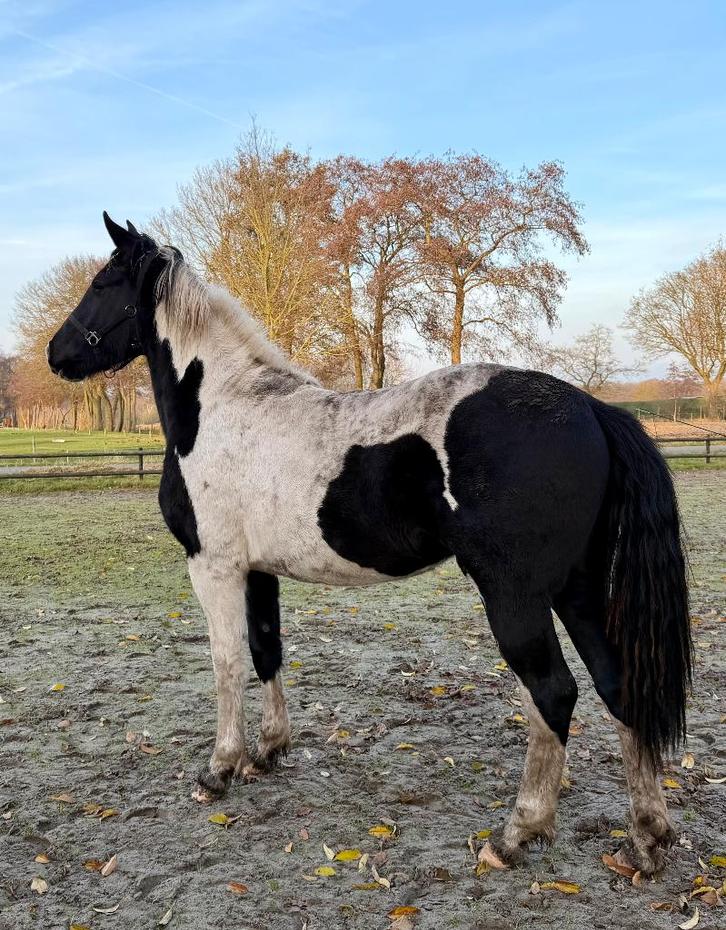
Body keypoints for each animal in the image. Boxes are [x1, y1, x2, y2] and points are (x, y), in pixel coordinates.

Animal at [47, 213, 692, 875]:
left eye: (102, 282)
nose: (56, 354)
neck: (222, 408)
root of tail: (590, 407)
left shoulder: (214, 566)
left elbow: (227, 661)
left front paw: (220, 768)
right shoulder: (258, 569)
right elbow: (266, 650)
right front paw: (268, 752)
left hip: (517, 598)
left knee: (554, 695)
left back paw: (516, 834)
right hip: (578, 592)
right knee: (618, 686)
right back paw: (647, 837)